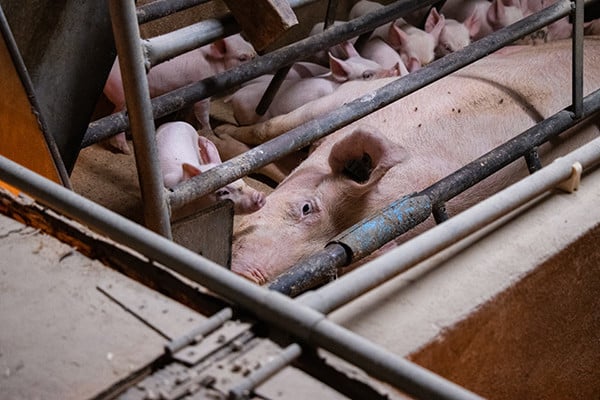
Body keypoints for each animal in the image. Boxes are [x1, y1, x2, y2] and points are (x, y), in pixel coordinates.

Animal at [102, 34, 255, 155]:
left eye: (250, 46)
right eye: (242, 58)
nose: (255, 55)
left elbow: (188, 111)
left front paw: (187, 122)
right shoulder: (202, 90)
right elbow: (203, 113)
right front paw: (208, 131)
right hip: (121, 95)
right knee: (115, 118)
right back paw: (126, 150)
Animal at [227, 39, 600, 284]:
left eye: (324, 273)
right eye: (306, 208)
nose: (246, 276)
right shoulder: (348, 101)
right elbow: (270, 133)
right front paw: (225, 134)